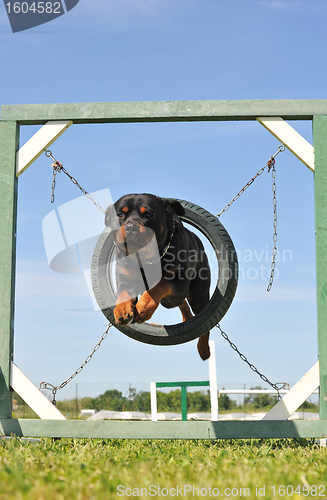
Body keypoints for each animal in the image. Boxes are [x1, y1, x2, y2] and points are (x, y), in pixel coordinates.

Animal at [105, 192, 213, 360]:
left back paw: (203, 349)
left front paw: (143, 307)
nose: (130, 227)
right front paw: (121, 310)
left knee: (203, 322)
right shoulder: (125, 277)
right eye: (120, 214)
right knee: (181, 303)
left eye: (148, 214)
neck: (147, 257)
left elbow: (160, 285)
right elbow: (123, 292)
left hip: (198, 294)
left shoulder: (179, 282)